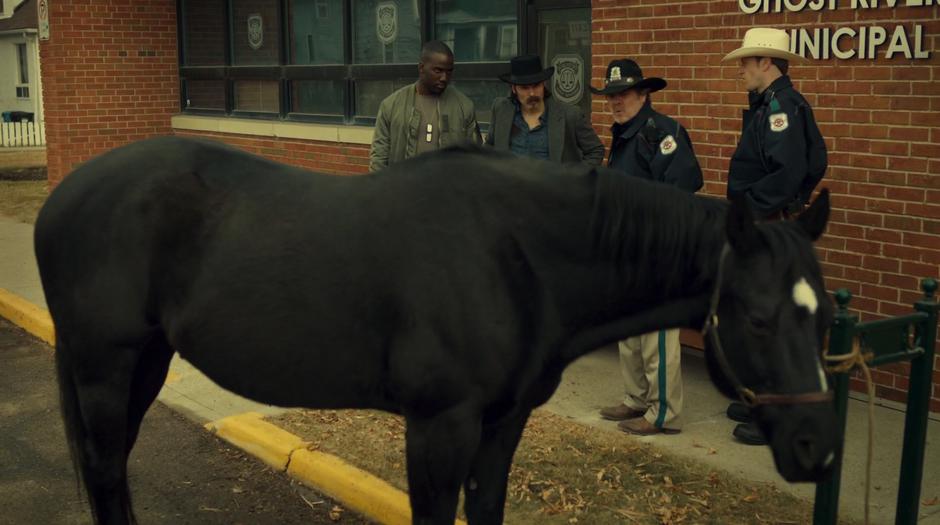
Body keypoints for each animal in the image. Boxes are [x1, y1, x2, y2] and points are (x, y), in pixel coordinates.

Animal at [38, 137, 836, 524]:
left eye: (825, 316)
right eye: (758, 317)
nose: (815, 448)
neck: (517, 251)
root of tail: (62, 195)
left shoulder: (502, 423)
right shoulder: (438, 426)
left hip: (146, 362)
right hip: (104, 367)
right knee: (105, 468)